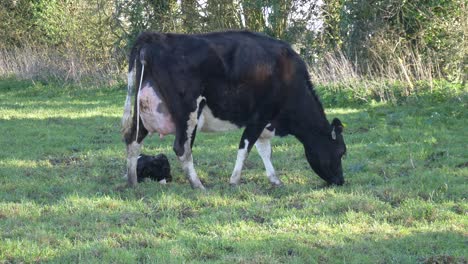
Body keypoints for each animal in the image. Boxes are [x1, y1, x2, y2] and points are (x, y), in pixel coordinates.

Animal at [122, 29, 346, 189]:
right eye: (342, 152)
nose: (341, 181)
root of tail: (156, 36)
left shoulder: (266, 123)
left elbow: (265, 151)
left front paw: (274, 179)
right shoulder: (259, 117)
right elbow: (245, 148)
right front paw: (234, 180)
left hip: (144, 110)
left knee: (133, 140)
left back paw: (132, 182)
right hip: (187, 112)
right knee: (181, 148)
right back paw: (197, 184)